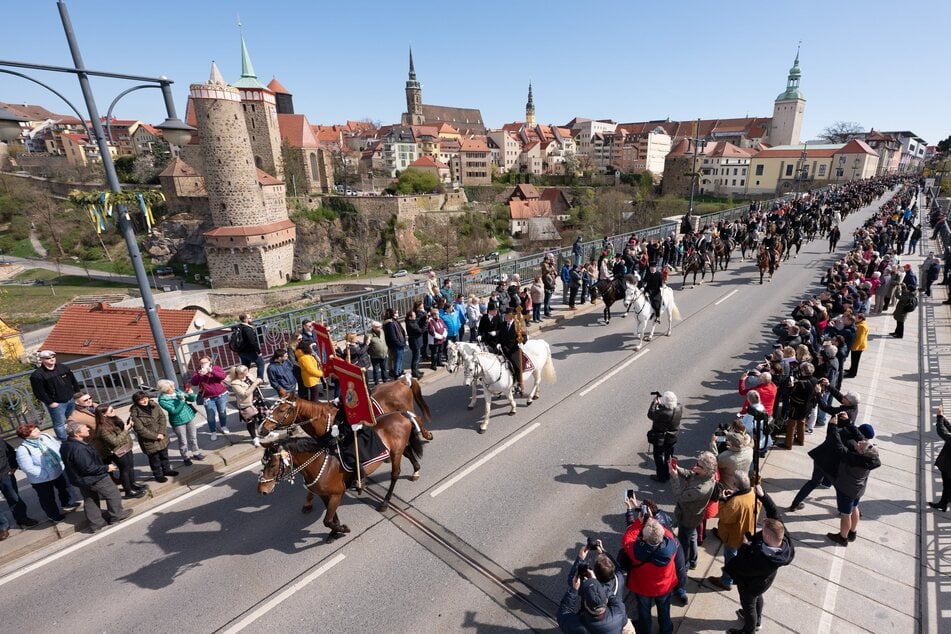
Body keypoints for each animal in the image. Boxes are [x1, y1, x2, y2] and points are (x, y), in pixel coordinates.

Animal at [258, 400, 426, 540]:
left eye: (272, 465)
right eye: (263, 463)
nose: (262, 490)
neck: (318, 462)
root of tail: (399, 413)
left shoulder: (336, 494)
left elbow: (327, 520)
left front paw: (342, 529)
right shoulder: (326, 495)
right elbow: (331, 517)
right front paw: (335, 532)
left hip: (395, 453)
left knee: (394, 474)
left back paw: (385, 502)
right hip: (397, 450)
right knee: (408, 453)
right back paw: (416, 470)